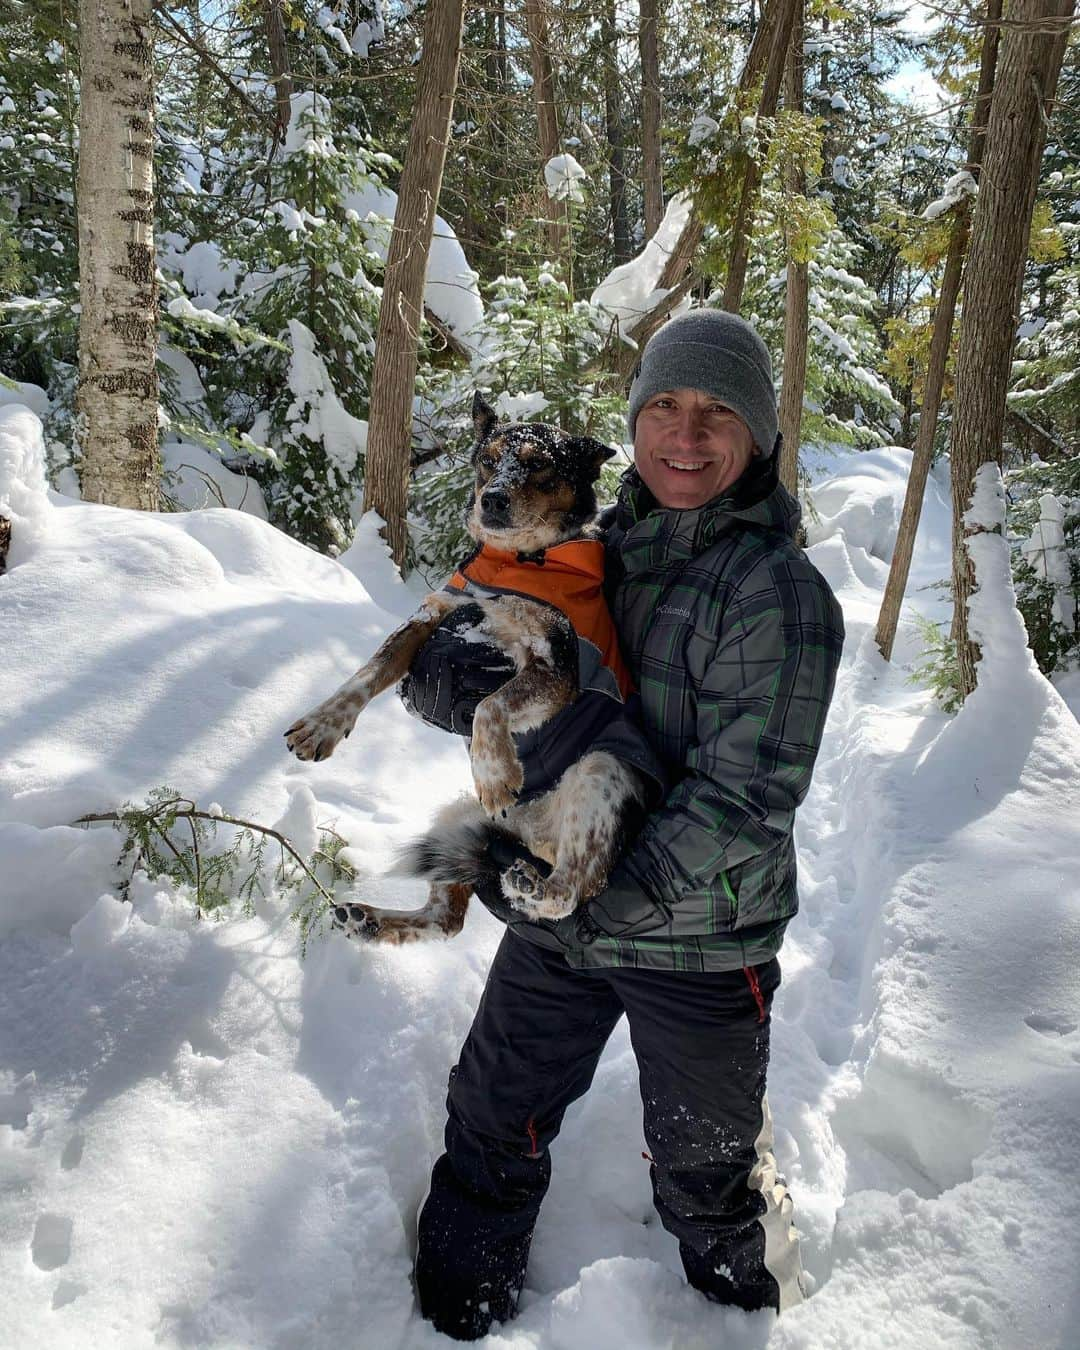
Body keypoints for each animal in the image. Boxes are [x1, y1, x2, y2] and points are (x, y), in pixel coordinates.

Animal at [284, 391, 650, 939]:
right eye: (487, 460)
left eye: (538, 465)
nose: (492, 499)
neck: (516, 562)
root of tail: (532, 838)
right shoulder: (434, 617)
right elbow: (367, 674)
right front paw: (320, 724)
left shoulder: (555, 665)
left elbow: (489, 706)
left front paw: (496, 773)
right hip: (452, 819)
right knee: (447, 918)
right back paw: (368, 919)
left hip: (602, 771)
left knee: (573, 892)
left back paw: (531, 886)